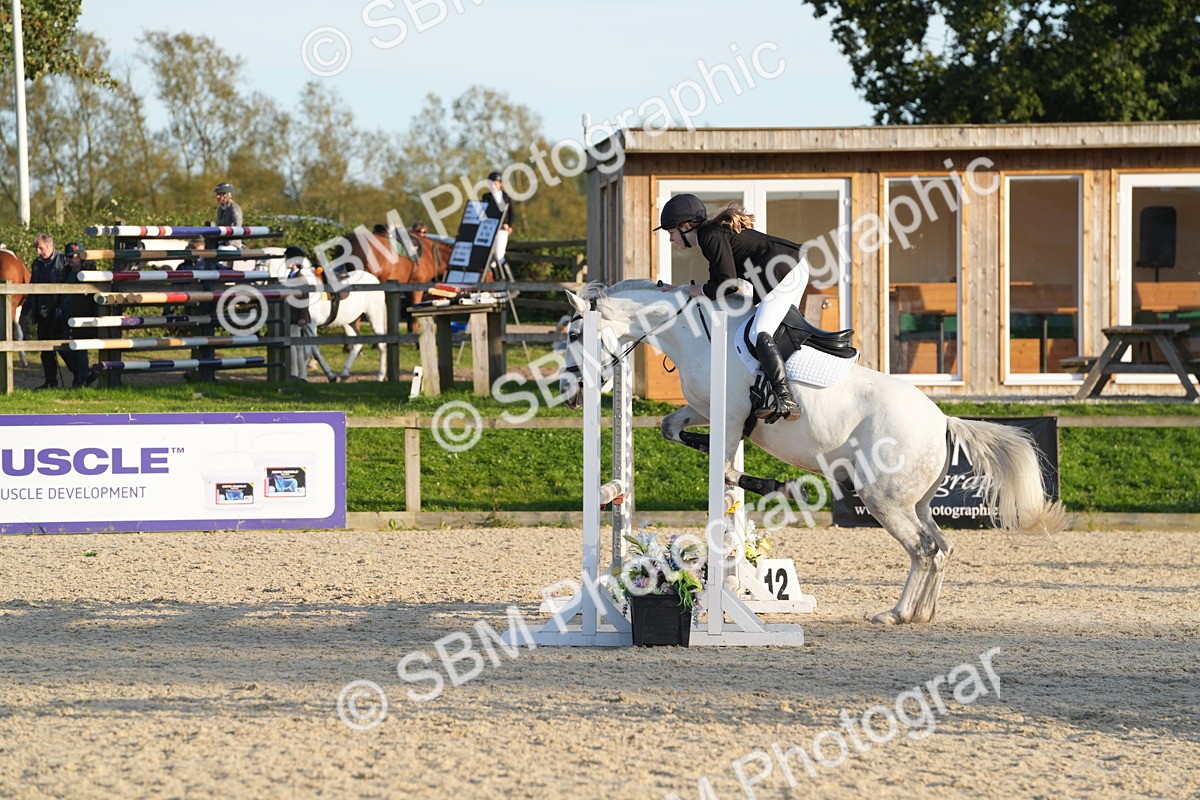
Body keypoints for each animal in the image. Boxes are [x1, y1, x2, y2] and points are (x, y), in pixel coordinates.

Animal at [562, 280, 1065, 625]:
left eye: (574, 336)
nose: (570, 392)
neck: (693, 335)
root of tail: (941, 420)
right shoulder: (702, 411)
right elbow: (673, 430)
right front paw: (758, 481)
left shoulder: (729, 417)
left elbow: (723, 469)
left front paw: (763, 484)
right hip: (915, 500)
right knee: (941, 545)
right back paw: (923, 613)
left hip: (883, 498)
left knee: (922, 549)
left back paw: (895, 614)